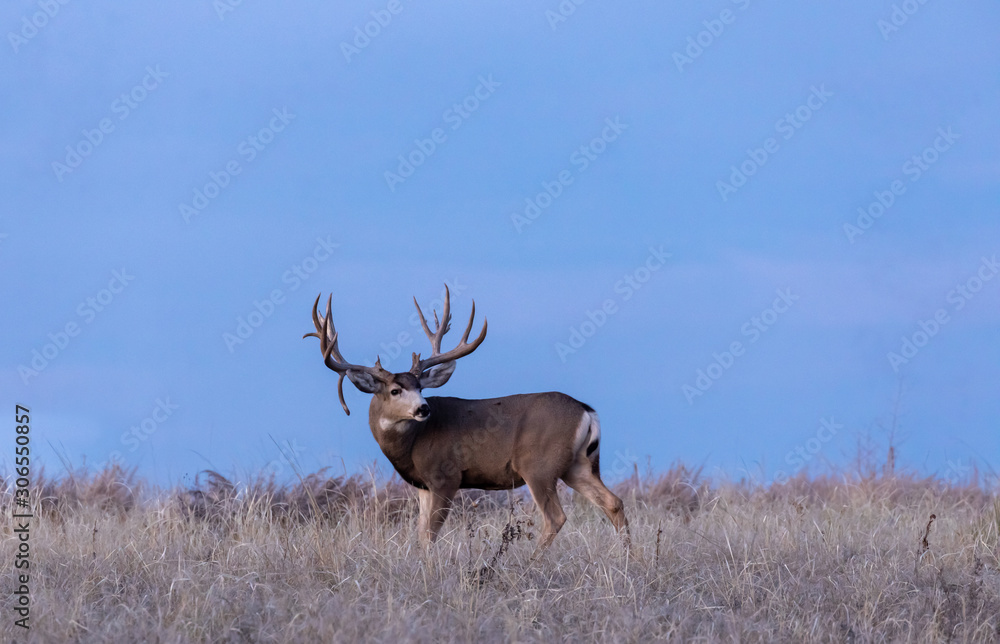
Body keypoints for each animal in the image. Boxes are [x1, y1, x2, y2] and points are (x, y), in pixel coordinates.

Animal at [303, 286, 629, 550]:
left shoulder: (445, 476)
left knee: (555, 517)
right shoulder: (422, 486)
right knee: (613, 502)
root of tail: (587, 411)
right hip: (578, 465)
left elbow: (431, 535)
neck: (412, 444)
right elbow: (420, 535)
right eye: (396, 390)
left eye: (420, 387)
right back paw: (626, 556)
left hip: (538, 466)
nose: (423, 408)